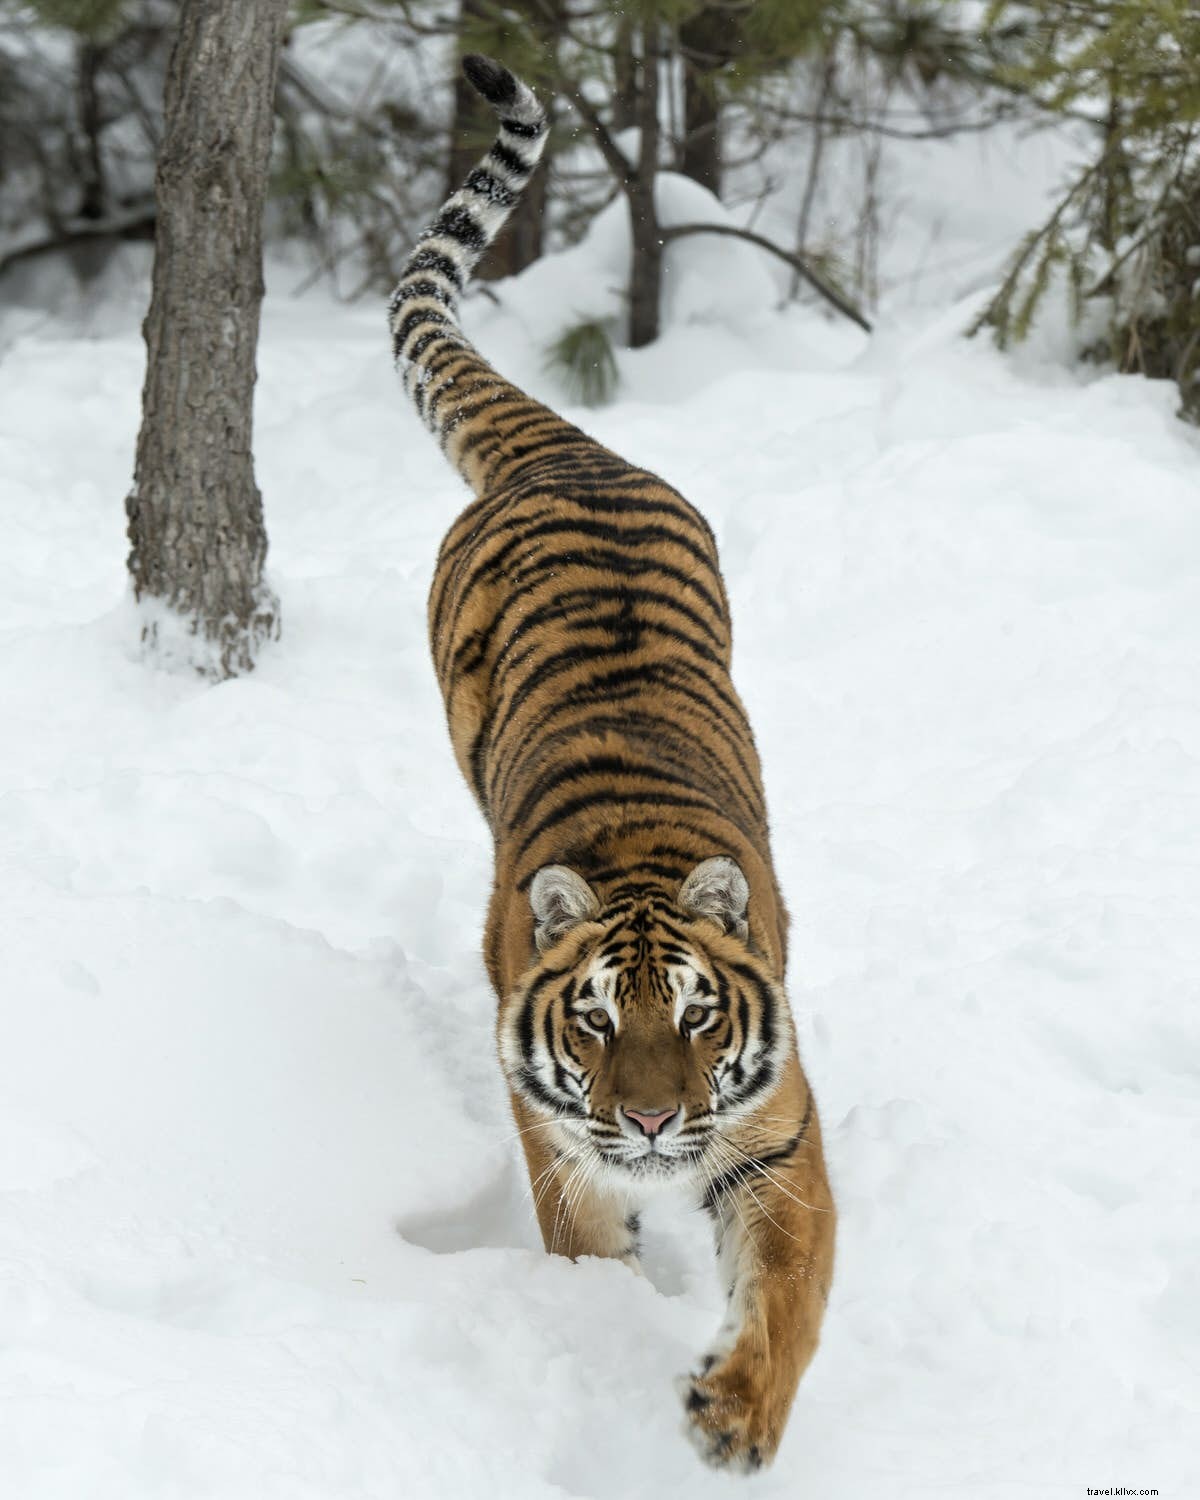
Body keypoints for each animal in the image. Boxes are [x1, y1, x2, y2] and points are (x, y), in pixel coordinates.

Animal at [386, 54, 836, 1473]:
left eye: (697, 1017)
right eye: (593, 1020)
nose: (645, 1123)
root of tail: (565, 446)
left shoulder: (780, 1137)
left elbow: (790, 1288)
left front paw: (736, 1416)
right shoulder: (563, 1148)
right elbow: (595, 1255)